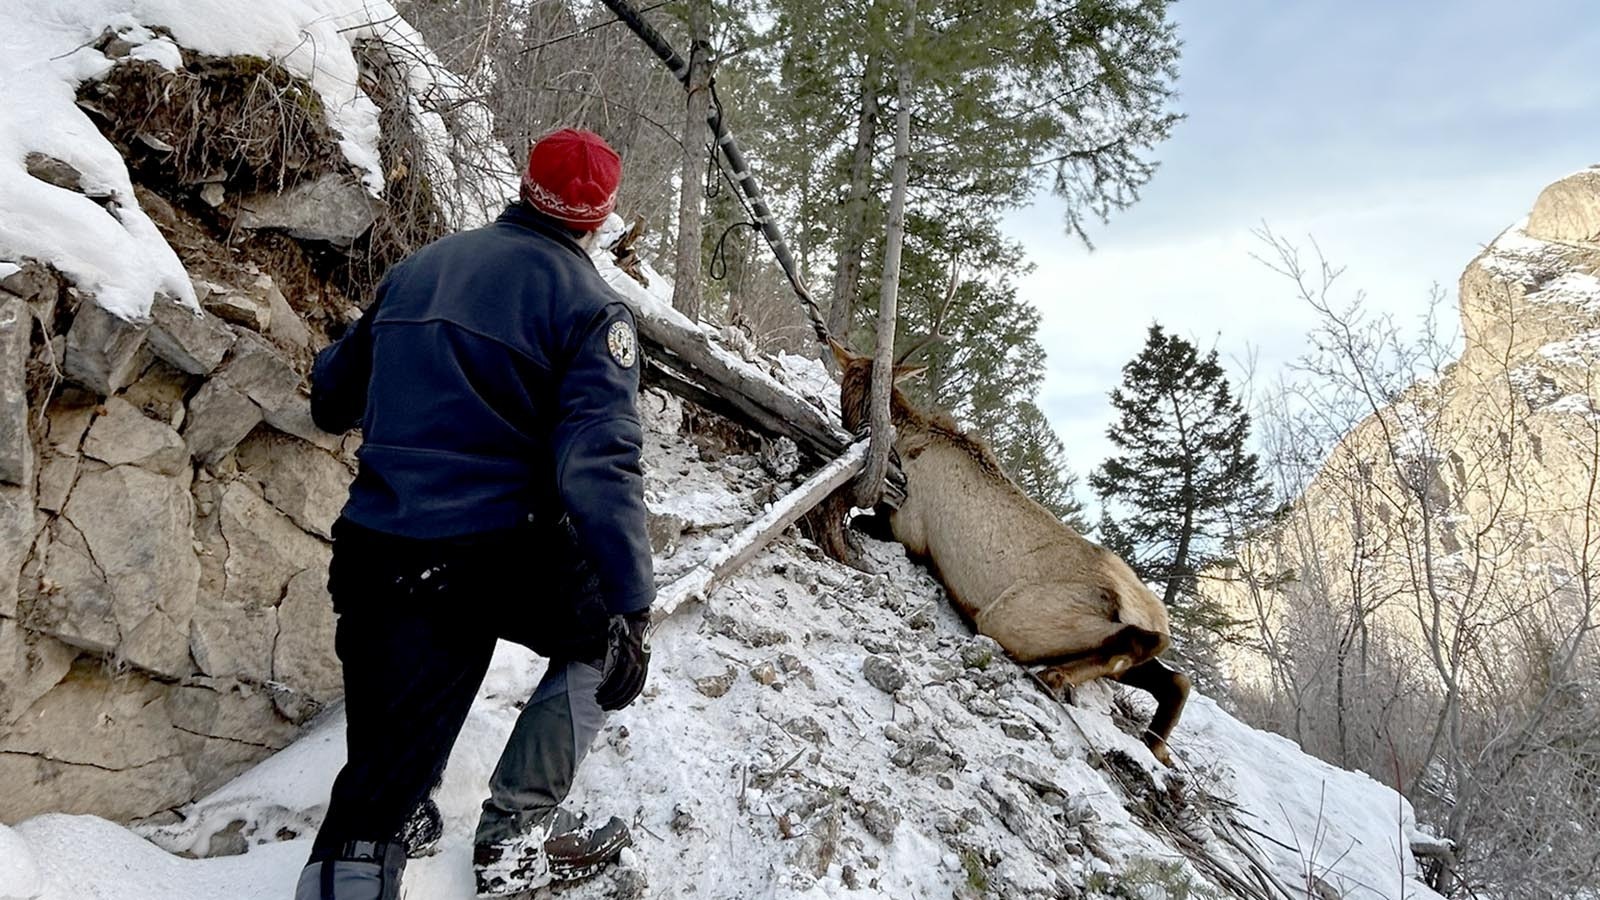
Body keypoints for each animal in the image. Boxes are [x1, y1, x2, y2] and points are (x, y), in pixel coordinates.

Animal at [838, 339, 1190, 759]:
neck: (903, 436)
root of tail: (1155, 616)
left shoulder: (907, 531)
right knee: (1176, 679)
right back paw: (1155, 745)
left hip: (1012, 617)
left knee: (1141, 648)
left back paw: (1057, 677)